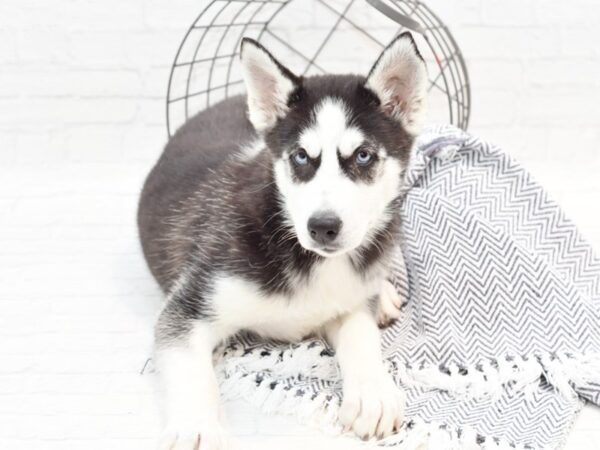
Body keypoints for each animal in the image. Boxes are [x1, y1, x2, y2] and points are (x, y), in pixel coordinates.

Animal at [137, 32, 426, 450]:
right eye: (301, 156)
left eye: (363, 155)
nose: (322, 227)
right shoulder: (190, 307)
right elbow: (190, 368)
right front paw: (197, 427)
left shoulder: (349, 301)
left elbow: (362, 334)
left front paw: (373, 392)